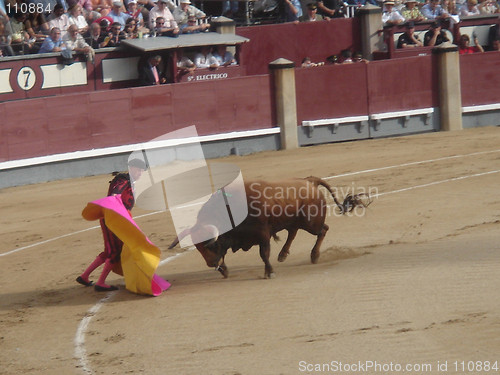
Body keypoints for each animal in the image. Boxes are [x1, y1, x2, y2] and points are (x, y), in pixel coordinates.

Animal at [170, 176, 370, 280]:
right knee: (293, 232)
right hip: (294, 221)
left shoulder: (263, 234)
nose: (210, 264)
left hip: (311, 222)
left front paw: (269, 272)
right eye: (197, 247)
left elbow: (263, 253)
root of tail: (309, 181)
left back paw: (314, 255)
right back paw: (283, 254)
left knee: (323, 230)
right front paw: (223, 270)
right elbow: (224, 253)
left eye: (209, 245)